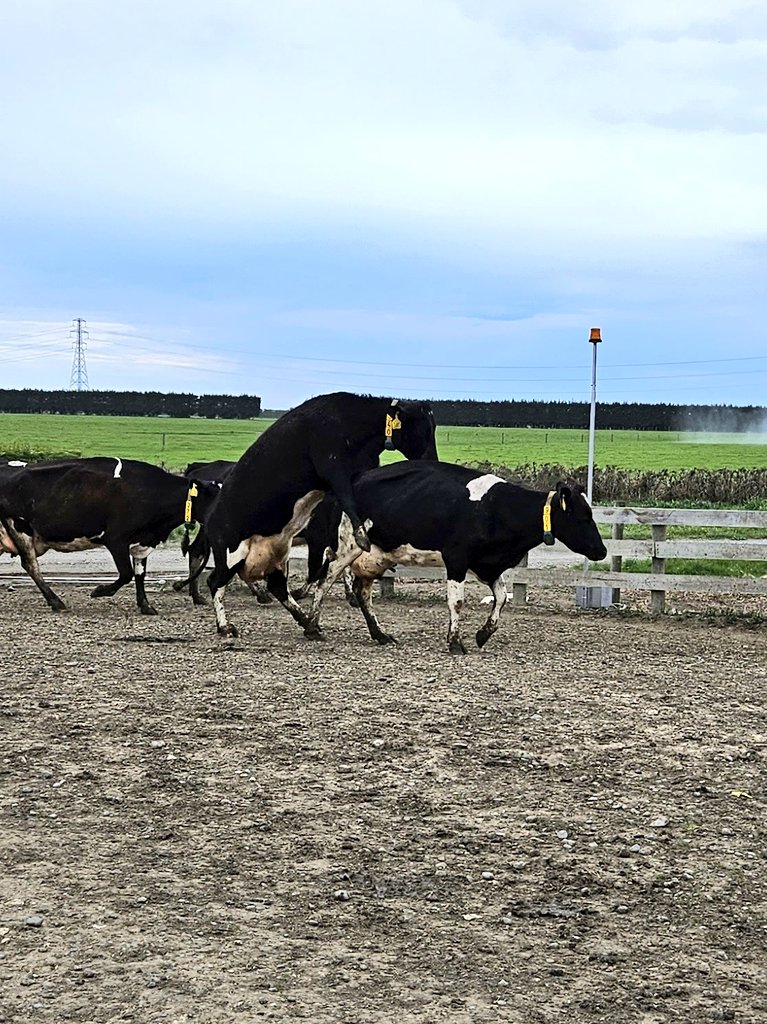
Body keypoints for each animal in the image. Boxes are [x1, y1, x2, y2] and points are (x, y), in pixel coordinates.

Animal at [0, 457, 219, 615]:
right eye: (215, 497)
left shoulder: (143, 541)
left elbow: (139, 573)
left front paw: (145, 605)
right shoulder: (116, 539)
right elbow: (126, 574)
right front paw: (99, 591)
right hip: (19, 528)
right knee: (31, 566)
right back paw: (56, 602)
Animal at [204, 392, 438, 637]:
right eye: (423, 429)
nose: (432, 460)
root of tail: (210, 518)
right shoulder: (333, 467)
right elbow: (347, 499)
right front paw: (361, 535)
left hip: (276, 552)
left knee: (277, 587)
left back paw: (307, 622)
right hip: (231, 553)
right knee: (214, 582)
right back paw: (224, 626)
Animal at [303, 461, 608, 653]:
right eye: (582, 517)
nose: (602, 550)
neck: (495, 508)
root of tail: (349, 484)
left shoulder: (488, 566)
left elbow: (501, 598)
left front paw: (483, 634)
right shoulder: (457, 559)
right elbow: (457, 602)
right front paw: (454, 642)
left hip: (376, 556)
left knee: (362, 593)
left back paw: (380, 634)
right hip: (347, 547)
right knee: (325, 580)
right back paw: (312, 626)